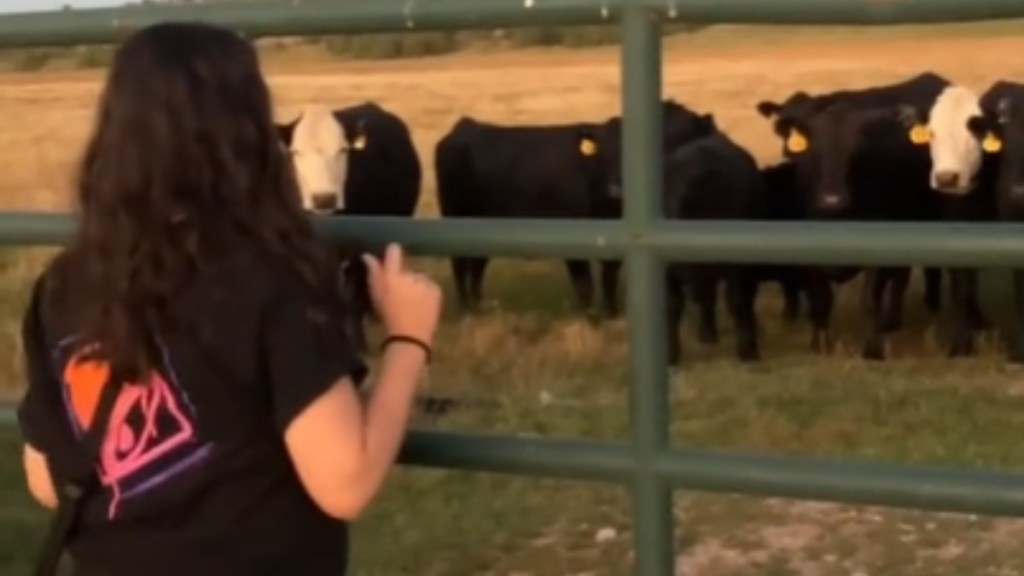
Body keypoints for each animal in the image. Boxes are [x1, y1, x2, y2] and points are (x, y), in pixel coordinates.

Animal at [436, 98, 716, 317]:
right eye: (606, 152)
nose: (616, 188)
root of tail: (465, 125)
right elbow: (585, 285)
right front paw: (592, 319)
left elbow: (609, 278)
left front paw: (612, 313)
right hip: (455, 214)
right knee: (460, 264)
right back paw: (466, 309)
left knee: (477, 264)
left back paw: (479, 305)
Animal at [753, 71, 950, 358]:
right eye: (814, 150)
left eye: (857, 151)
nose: (832, 200)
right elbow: (820, 300)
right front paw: (819, 343)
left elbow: (868, 300)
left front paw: (872, 349)